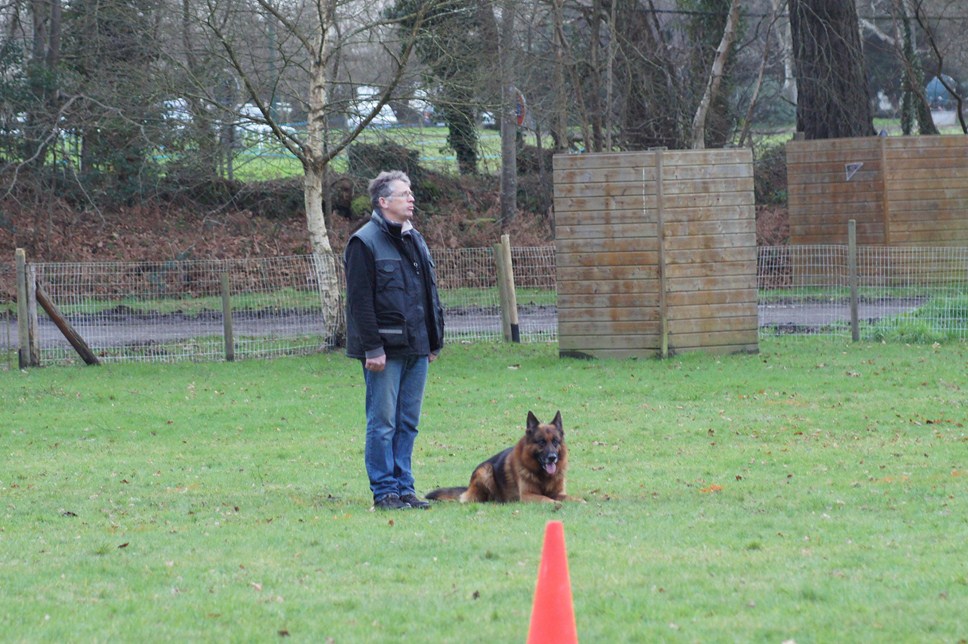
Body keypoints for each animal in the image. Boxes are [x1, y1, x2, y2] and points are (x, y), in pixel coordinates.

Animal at [424, 412, 576, 504]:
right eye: (542, 442)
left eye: (555, 442)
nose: (552, 458)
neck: (543, 476)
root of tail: (468, 487)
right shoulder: (527, 495)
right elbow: (546, 499)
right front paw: (556, 503)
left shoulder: (559, 493)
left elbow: (572, 498)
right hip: (486, 470)